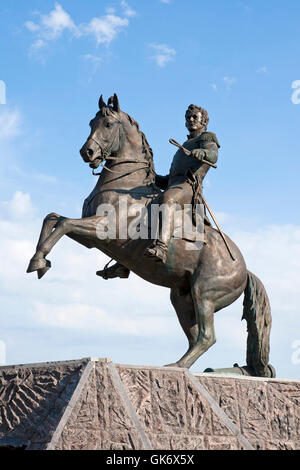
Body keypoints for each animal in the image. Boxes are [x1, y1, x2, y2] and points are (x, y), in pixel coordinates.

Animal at [27, 93, 274, 376]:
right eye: (91, 122)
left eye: (108, 124)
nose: (86, 152)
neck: (125, 186)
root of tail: (244, 269)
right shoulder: (90, 236)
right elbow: (53, 218)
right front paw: (38, 259)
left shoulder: (102, 230)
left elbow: (64, 224)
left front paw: (39, 261)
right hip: (182, 297)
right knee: (195, 335)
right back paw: (178, 365)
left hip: (205, 293)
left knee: (207, 336)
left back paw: (178, 366)